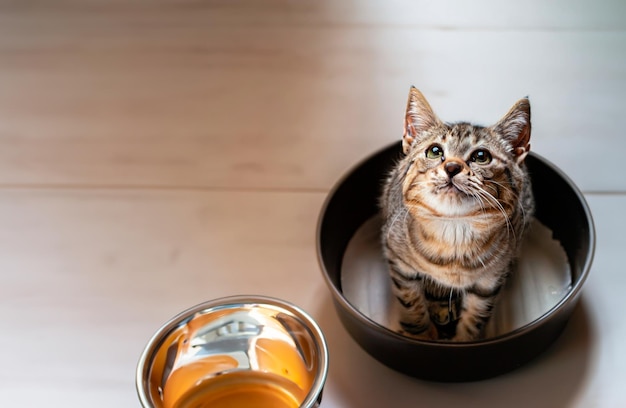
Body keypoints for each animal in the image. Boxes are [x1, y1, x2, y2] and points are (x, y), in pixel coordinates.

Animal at [378, 88, 532, 342]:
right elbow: (412, 304)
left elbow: (474, 318)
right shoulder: (398, 263)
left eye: (481, 156)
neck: (454, 232)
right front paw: (420, 335)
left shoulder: (489, 283)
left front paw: (463, 341)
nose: (452, 167)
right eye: (434, 151)